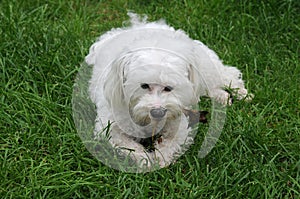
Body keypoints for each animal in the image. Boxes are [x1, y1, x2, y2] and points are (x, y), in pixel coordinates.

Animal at [85, 12, 252, 171]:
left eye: (169, 87)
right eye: (144, 86)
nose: (158, 112)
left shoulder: (179, 124)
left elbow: (171, 143)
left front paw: (161, 160)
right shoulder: (109, 129)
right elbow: (129, 146)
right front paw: (146, 161)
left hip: (205, 67)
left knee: (226, 74)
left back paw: (241, 93)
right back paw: (223, 96)